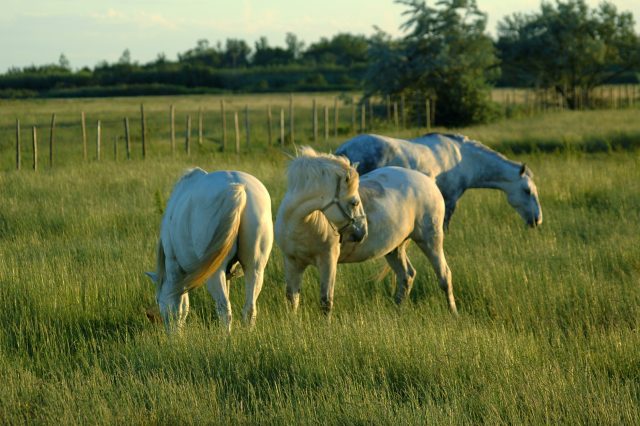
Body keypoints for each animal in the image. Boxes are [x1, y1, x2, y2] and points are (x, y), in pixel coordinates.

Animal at [145, 168, 272, 334]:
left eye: (158, 299)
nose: (167, 331)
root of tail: (239, 188)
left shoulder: (174, 268)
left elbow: (178, 307)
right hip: (255, 267)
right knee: (249, 308)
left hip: (214, 272)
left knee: (224, 309)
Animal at [276, 148, 456, 314]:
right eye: (355, 202)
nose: (362, 232)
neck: (300, 225)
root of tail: (429, 181)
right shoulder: (292, 262)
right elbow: (292, 299)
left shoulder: (328, 261)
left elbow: (326, 302)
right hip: (394, 248)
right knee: (407, 276)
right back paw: (397, 313)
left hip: (430, 241)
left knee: (444, 276)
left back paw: (453, 313)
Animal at [338, 132, 544, 228]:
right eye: (527, 191)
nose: (537, 220)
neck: (464, 158)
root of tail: (344, 149)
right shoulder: (450, 199)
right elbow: (445, 225)